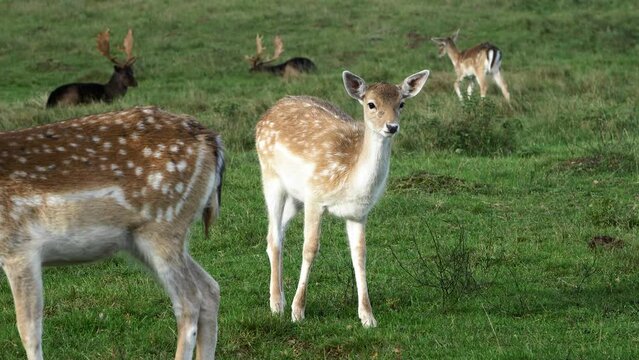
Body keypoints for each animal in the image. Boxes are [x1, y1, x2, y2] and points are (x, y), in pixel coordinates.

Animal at [0, 107, 225, 360]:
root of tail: (212, 141)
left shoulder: (18, 247)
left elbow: (28, 330)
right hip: (142, 240)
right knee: (210, 289)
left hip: (164, 226)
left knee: (190, 301)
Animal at [255, 69, 430, 328]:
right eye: (371, 104)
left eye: (401, 103)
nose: (391, 126)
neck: (349, 181)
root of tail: (269, 111)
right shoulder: (315, 197)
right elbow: (310, 249)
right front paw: (298, 312)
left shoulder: (358, 213)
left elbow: (360, 256)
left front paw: (368, 316)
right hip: (271, 176)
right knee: (275, 235)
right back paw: (277, 304)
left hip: (296, 197)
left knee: (273, 232)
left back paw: (280, 297)